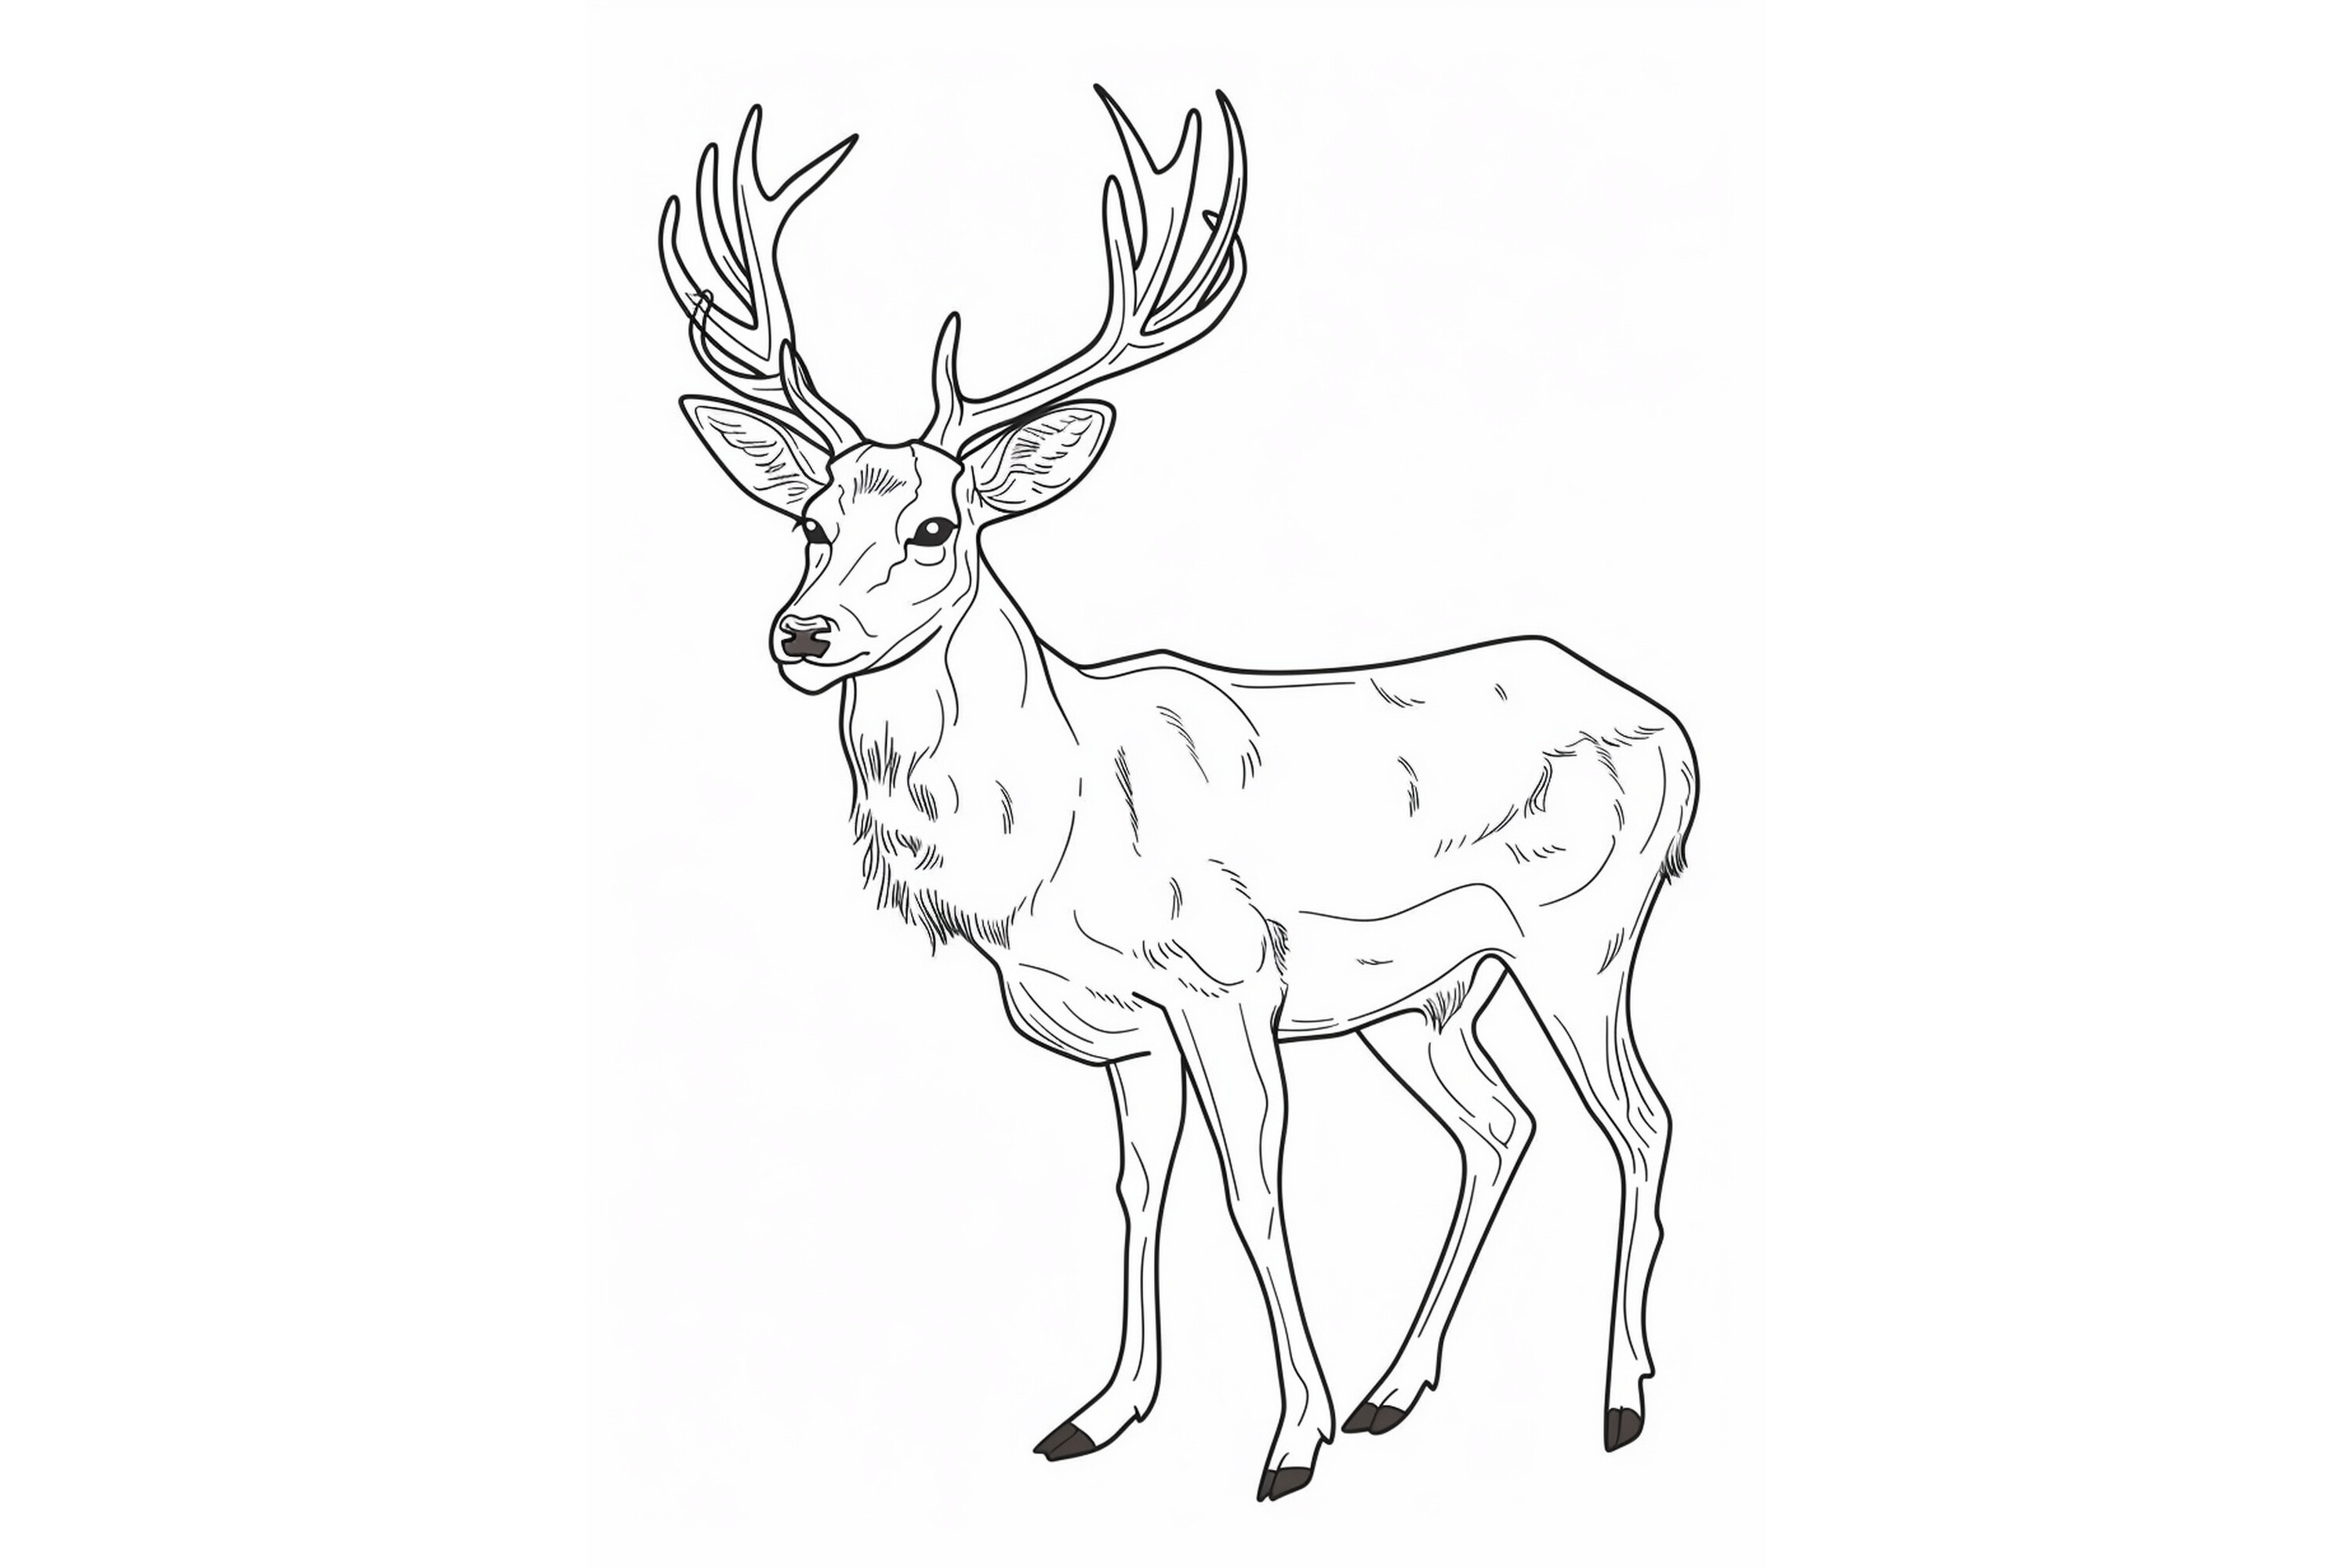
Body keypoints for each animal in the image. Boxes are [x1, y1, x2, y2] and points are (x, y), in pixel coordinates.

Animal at [657, 89, 1698, 1503]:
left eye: (937, 526)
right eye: (811, 524)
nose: (801, 634)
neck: (1048, 837)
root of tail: (1680, 736)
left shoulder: (1226, 981)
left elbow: (1253, 1195)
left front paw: (1290, 1444)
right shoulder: (1126, 1031)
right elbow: (1137, 1193)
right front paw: (1101, 1413)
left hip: (1583, 936)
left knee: (1640, 1122)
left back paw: (1620, 1399)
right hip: (1429, 994)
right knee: (1499, 1127)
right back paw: (1396, 1389)